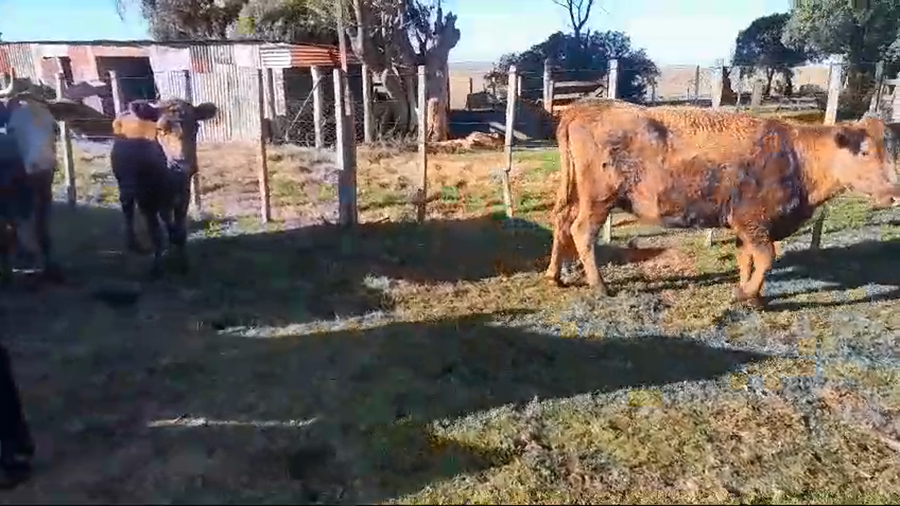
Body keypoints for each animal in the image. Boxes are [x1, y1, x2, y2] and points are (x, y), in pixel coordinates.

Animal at [0, 77, 84, 285]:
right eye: (12, 128)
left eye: (54, 127)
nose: (42, 165)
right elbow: (4, 235)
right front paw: (6, 275)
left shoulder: (44, 192)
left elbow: (42, 232)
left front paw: (51, 270)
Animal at [110, 98, 218, 278]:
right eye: (160, 129)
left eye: (195, 127)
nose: (182, 165)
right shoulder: (146, 200)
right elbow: (156, 234)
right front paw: (157, 268)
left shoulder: (183, 195)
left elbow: (180, 233)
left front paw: (183, 264)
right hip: (124, 184)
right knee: (128, 208)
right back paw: (133, 244)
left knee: (165, 216)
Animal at [544, 99, 900, 308]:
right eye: (864, 151)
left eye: (890, 150)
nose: (895, 193)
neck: (796, 156)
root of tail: (585, 106)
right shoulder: (753, 221)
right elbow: (766, 258)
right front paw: (746, 294)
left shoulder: (748, 226)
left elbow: (747, 259)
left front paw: (752, 296)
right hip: (598, 199)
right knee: (582, 231)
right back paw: (600, 286)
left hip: (575, 193)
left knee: (561, 220)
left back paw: (555, 275)